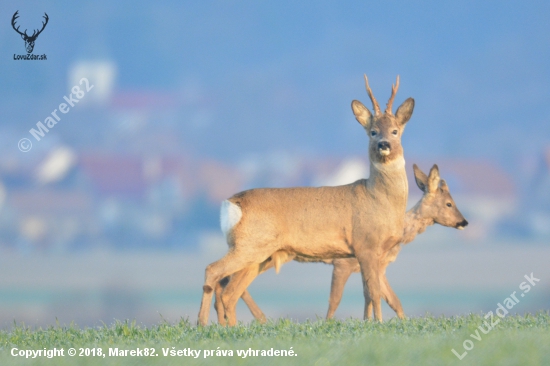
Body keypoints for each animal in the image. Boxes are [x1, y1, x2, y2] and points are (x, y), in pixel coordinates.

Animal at [198, 74, 414, 326]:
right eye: (372, 131)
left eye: (395, 130)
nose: (384, 145)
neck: (379, 199)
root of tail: (231, 204)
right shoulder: (366, 245)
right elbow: (374, 292)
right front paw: (377, 323)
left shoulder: (374, 253)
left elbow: (374, 293)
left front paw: (371, 321)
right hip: (249, 245)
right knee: (213, 271)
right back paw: (201, 323)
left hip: (256, 254)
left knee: (230, 292)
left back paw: (227, 327)